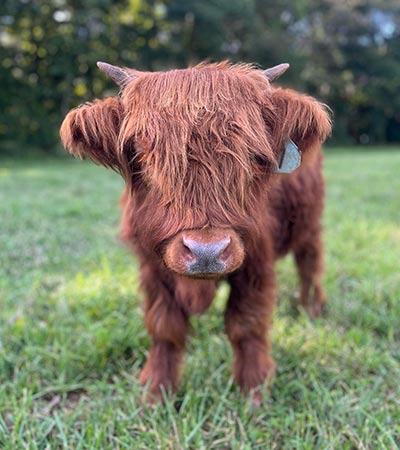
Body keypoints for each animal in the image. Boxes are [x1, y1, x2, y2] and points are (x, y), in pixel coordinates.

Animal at [60, 60, 332, 404]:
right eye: (142, 155)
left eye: (255, 156)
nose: (207, 252)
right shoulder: (151, 266)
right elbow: (165, 328)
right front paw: (155, 393)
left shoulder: (257, 261)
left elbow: (247, 325)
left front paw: (254, 392)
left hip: (310, 225)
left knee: (309, 264)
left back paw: (312, 309)